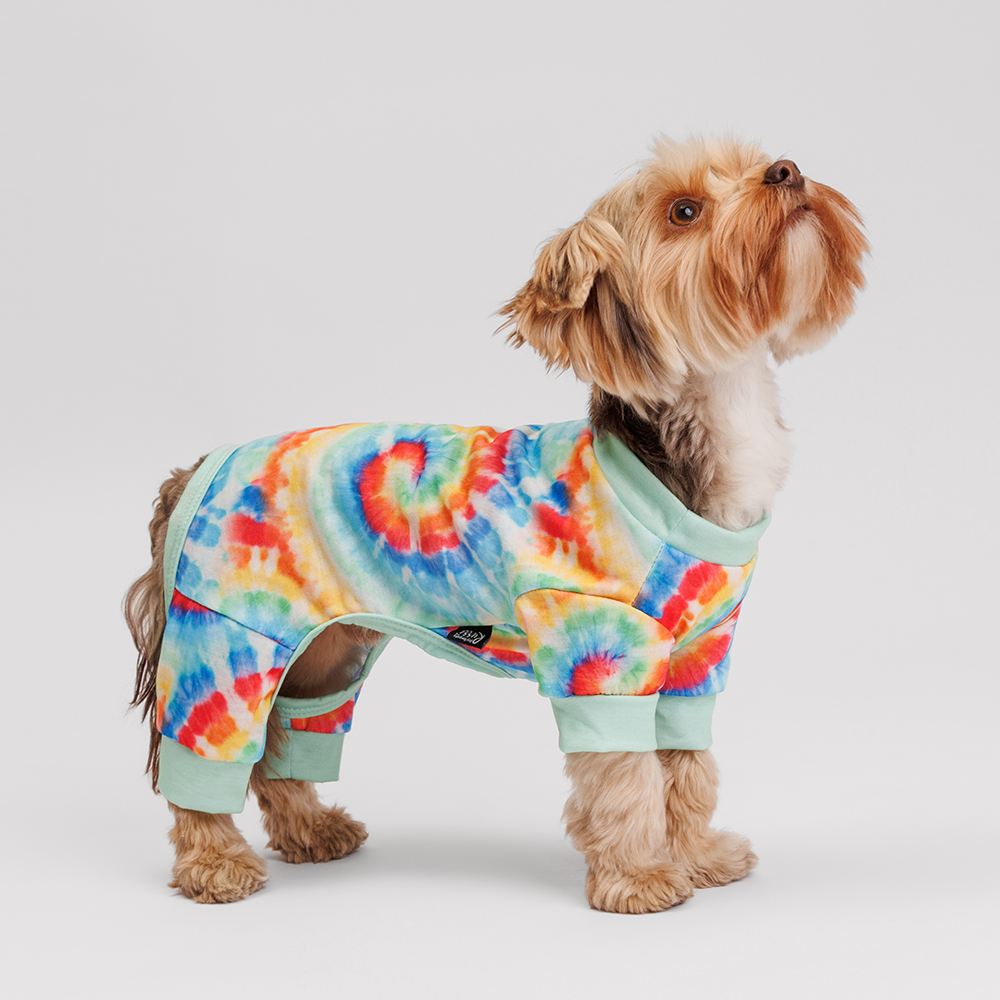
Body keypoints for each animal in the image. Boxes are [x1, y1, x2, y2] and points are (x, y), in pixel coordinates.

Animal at [126, 137, 866, 911]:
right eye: (684, 211)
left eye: (757, 160)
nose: (787, 170)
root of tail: (195, 469)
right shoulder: (597, 652)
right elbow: (626, 779)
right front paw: (639, 878)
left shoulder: (698, 657)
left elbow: (688, 767)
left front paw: (697, 855)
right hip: (227, 631)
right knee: (208, 749)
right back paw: (214, 864)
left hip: (323, 652)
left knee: (286, 742)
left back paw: (313, 831)